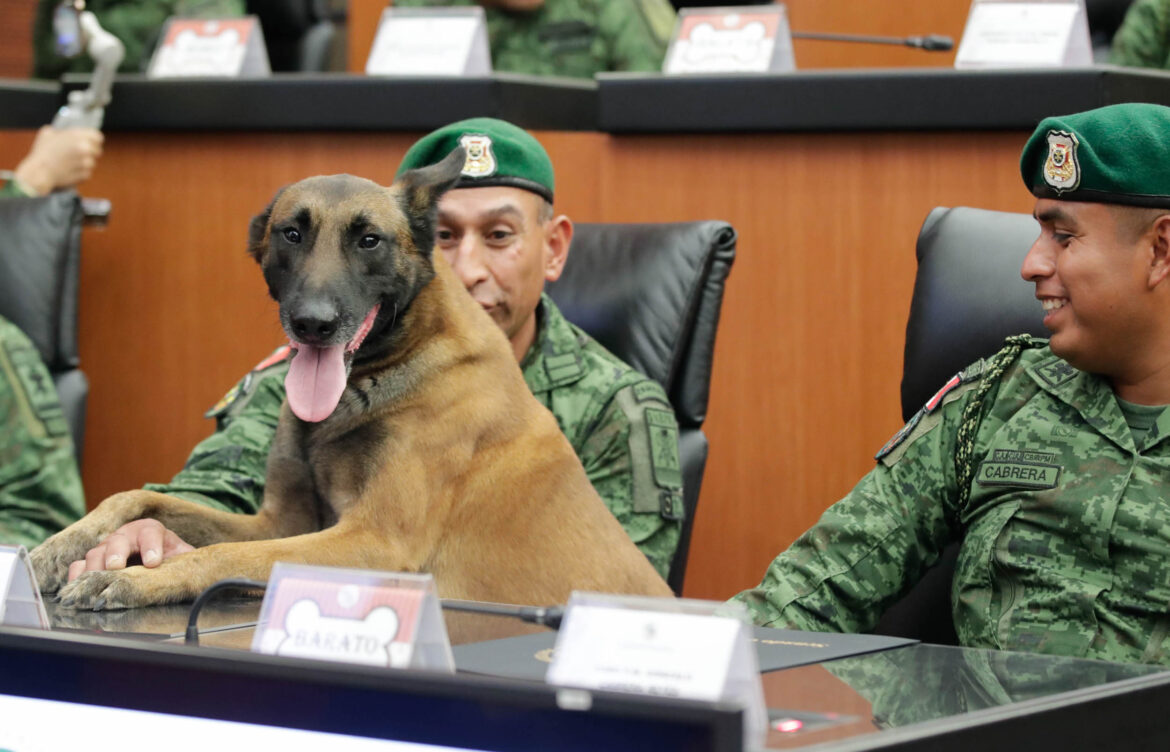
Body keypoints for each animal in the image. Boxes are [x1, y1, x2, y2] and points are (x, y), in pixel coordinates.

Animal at [29, 148, 678, 612]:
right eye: (292, 233)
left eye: (369, 240)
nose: (313, 324)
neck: (381, 371)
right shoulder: (282, 523)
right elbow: (138, 499)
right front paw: (59, 548)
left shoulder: (372, 540)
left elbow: (226, 555)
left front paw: (139, 579)